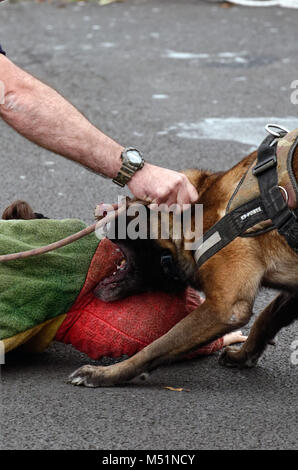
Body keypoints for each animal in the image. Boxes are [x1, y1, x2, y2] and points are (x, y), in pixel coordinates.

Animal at [4, 130, 298, 388]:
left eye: (126, 208)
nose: (101, 212)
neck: (193, 215)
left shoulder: (225, 307)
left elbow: (156, 345)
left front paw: (106, 374)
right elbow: (266, 318)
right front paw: (244, 355)